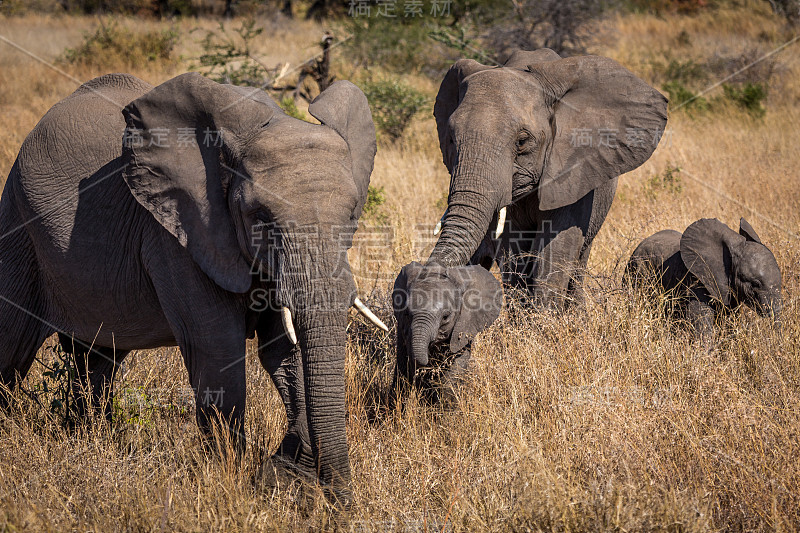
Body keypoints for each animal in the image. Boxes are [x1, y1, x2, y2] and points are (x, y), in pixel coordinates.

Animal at [0, 70, 384, 498]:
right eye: (261, 217)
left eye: (352, 215)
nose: (341, 502)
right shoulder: (178, 233)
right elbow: (217, 349)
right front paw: (229, 479)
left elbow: (282, 353)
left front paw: (281, 475)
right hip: (18, 221)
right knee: (12, 345)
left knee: (97, 358)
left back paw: (89, 437)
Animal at [432, 48, 668, 310]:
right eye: (451, 139)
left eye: (522, 141)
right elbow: (514, 252)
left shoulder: (574, 170)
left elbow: (555, 250)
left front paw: (545, 318)